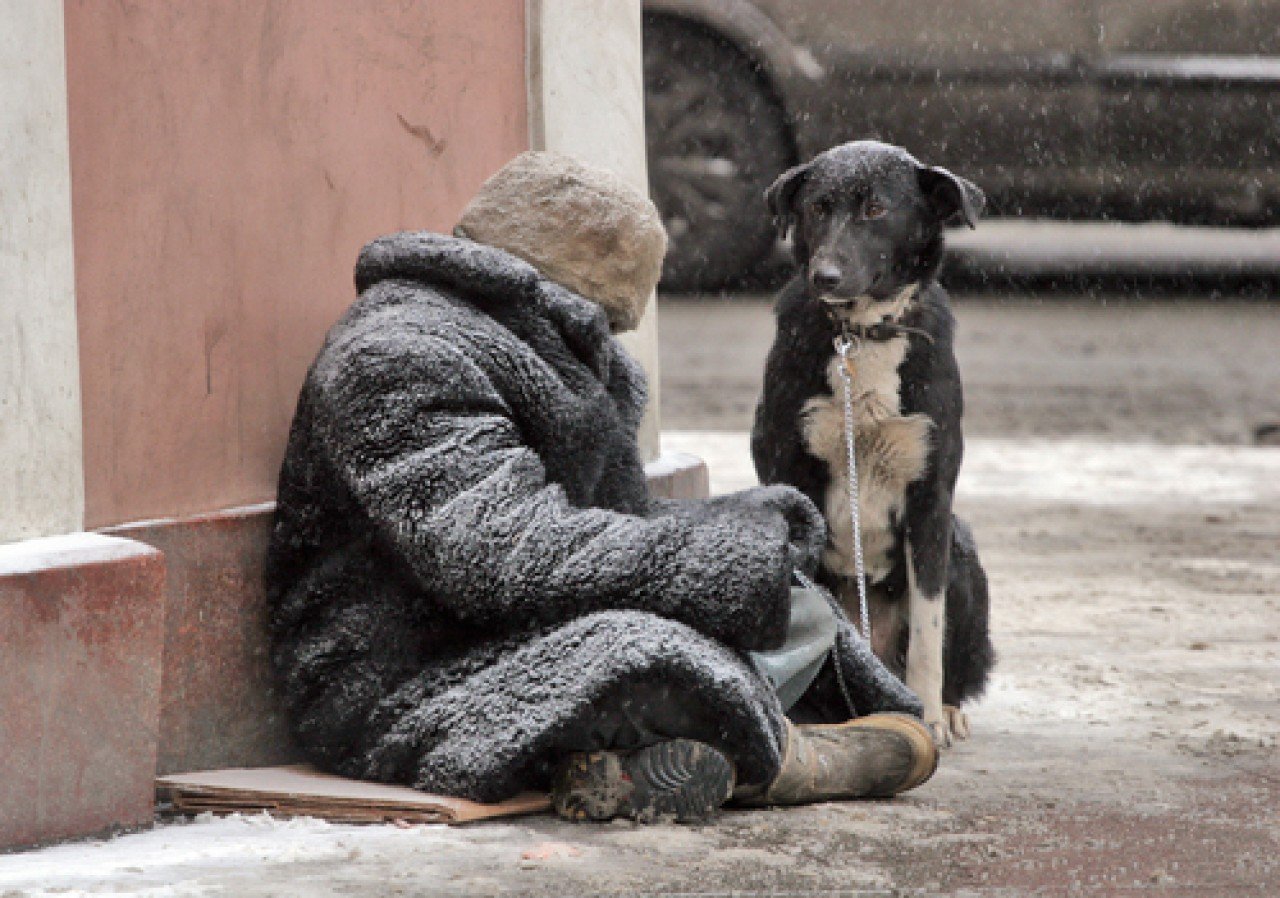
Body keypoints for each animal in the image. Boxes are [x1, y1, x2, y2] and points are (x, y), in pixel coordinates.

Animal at [752, 140, 993, 747]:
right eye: (818, 207)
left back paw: (946, 707)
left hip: (961, 549)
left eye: (876, 210)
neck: (860, 336)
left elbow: (930, 630)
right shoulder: (789, 473)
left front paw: (928, 715)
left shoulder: (931, 497)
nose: (825, 276)